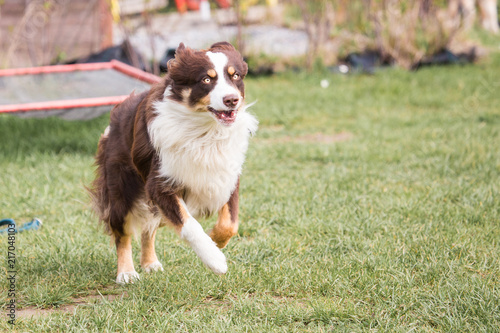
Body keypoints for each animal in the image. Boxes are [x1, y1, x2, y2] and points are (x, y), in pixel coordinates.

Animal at [89, 41, 258, 282]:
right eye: (206, 80)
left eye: (235, 76)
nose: (231, 100)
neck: (205, 131)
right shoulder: (160, 183)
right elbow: (189, 225)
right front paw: (215, 260)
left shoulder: (226, 174)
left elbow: (230, 223)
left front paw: (215, 241)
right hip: (121, 186)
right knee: (122, 231)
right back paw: (127, 273)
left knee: (149, 228)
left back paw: (150, 263)